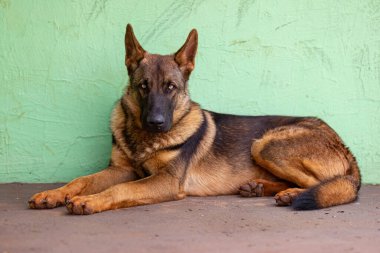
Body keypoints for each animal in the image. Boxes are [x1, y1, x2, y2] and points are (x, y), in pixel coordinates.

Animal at [28, 23, 360, 214]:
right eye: (143, 87)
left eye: (170, 88)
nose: (156, 122)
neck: (144, 140)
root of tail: (342, 143)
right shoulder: (121, 170)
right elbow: (81, 180)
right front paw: (53, 194)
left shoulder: (165, 181)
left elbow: (120, 190)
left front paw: (91, 201)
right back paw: (260, 188)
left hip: (265, 144)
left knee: (333, 184)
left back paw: (291, 195)